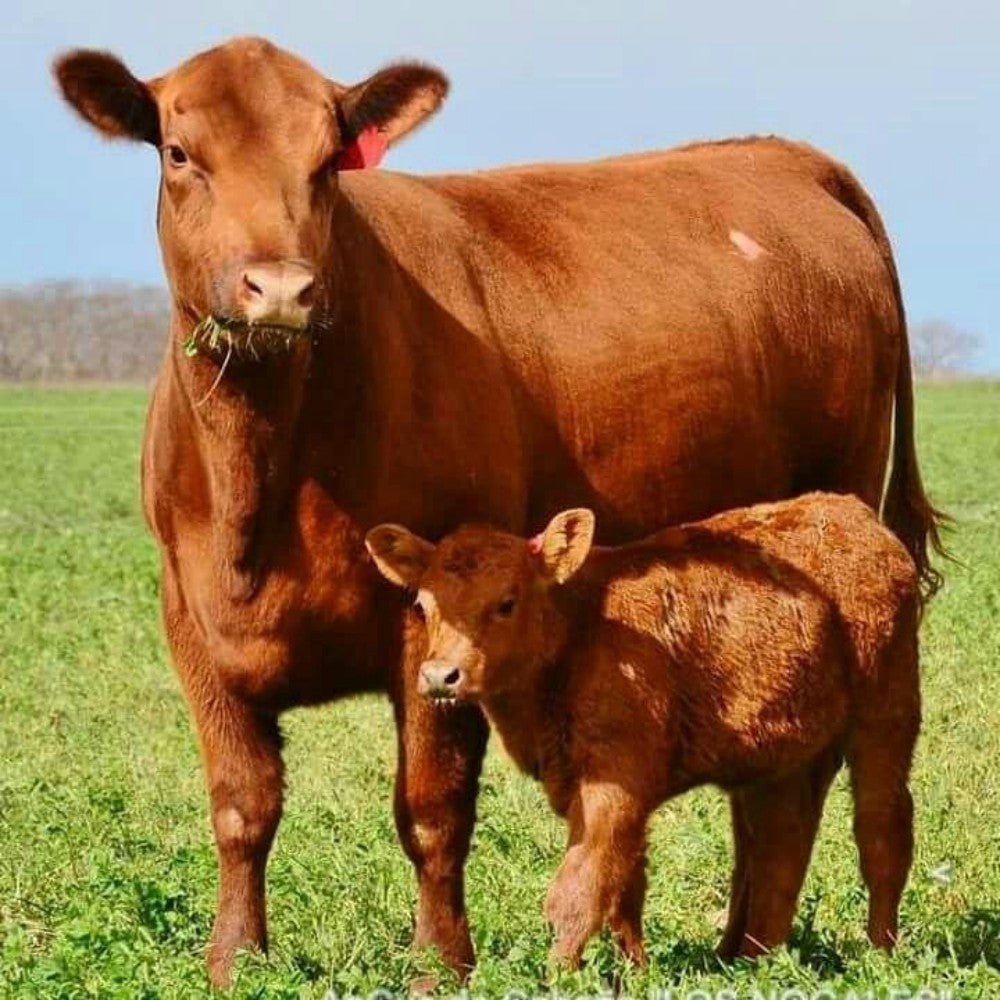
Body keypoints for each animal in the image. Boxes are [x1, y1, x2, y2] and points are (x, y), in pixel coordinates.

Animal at [366, 493, 921, 966]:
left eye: (506, 602)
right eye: (423, 606)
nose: (441, 676)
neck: (581, 626)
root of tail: (854, 514)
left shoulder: (614, 787)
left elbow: (579, 889)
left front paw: (557, 974)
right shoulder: (591, 790)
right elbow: (624, 886)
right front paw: (633, 972)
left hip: (886, 719)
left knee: (881, 830)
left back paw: (881, 954)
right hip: (782, 758)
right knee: (782, 847)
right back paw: (756, 960)